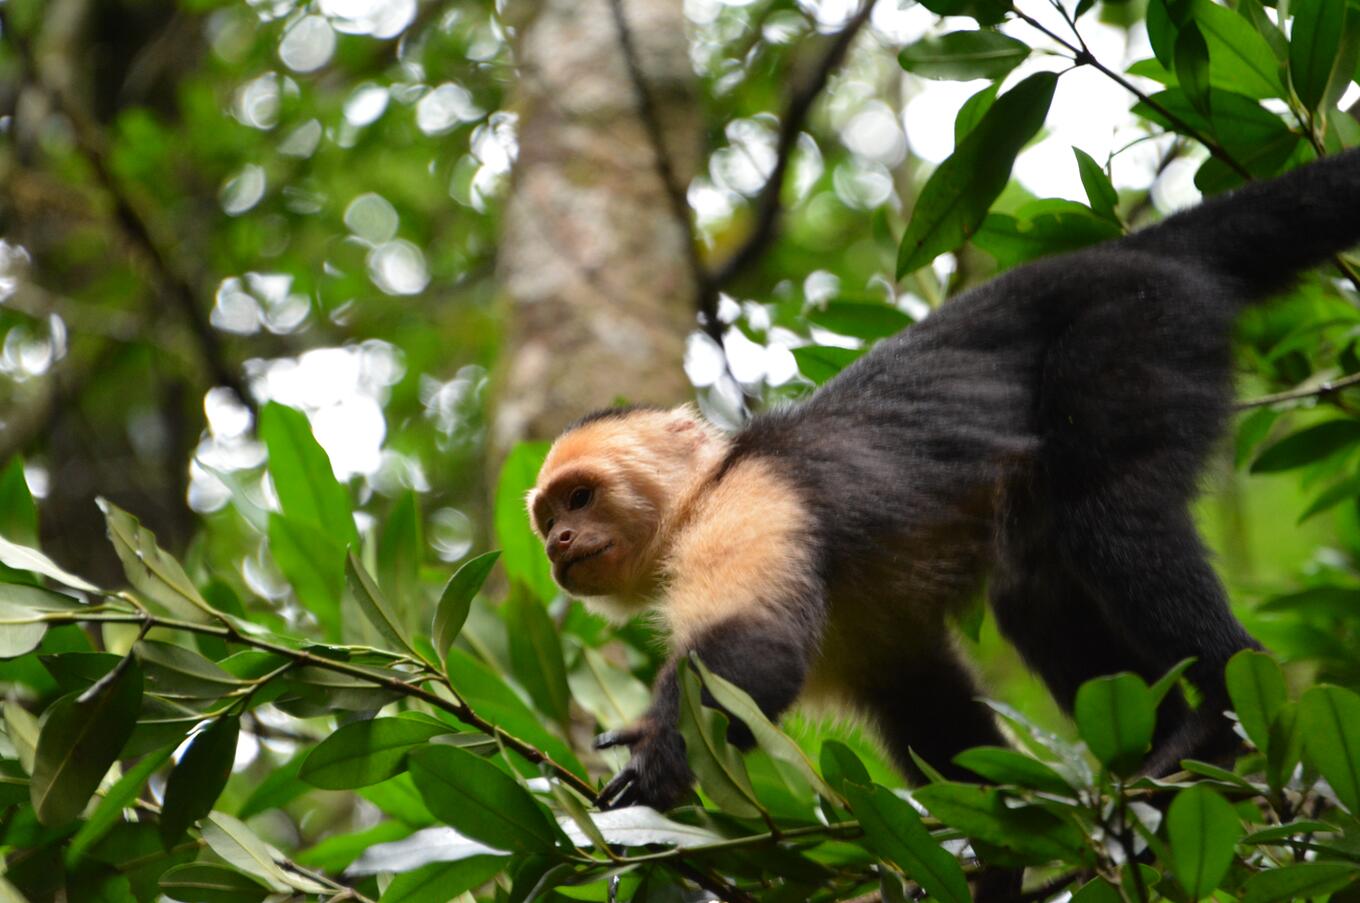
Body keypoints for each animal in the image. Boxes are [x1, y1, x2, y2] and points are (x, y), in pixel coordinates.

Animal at [527, 148, 1360, 814]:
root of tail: (1137, 252)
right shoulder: (868, 640)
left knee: (1107, 517)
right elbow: (935, 715)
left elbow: (755, 644)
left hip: (1133, 329)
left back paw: (1215, 718)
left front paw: (656, 763)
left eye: (581, 496)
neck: (705, 489)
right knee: (1033, 587)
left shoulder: (755, 496)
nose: (560, 541)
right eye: (546, 519)